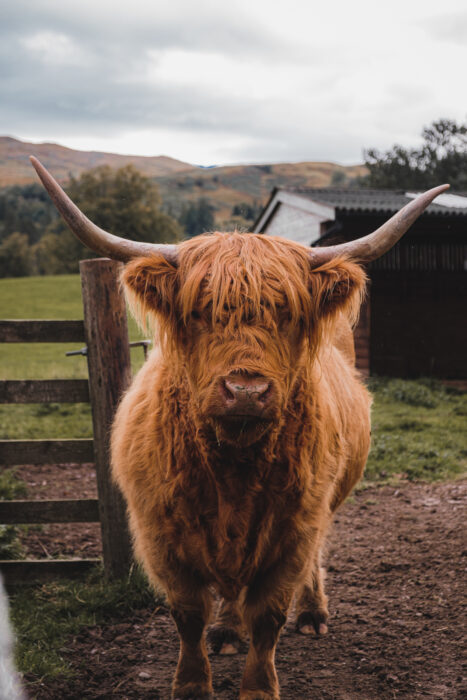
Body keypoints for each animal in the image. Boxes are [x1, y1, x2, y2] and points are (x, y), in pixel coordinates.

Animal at [30, 156, 448, 700]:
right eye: (199, 311)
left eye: (287, 313)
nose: (246, 390)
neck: (233, 467)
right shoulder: (160, 534)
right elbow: (188, 614)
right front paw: (191, 683)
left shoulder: (294, 529)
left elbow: (269, 616)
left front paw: (259, 687)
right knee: (227, 593)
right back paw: (227, 631)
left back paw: (312, 614)